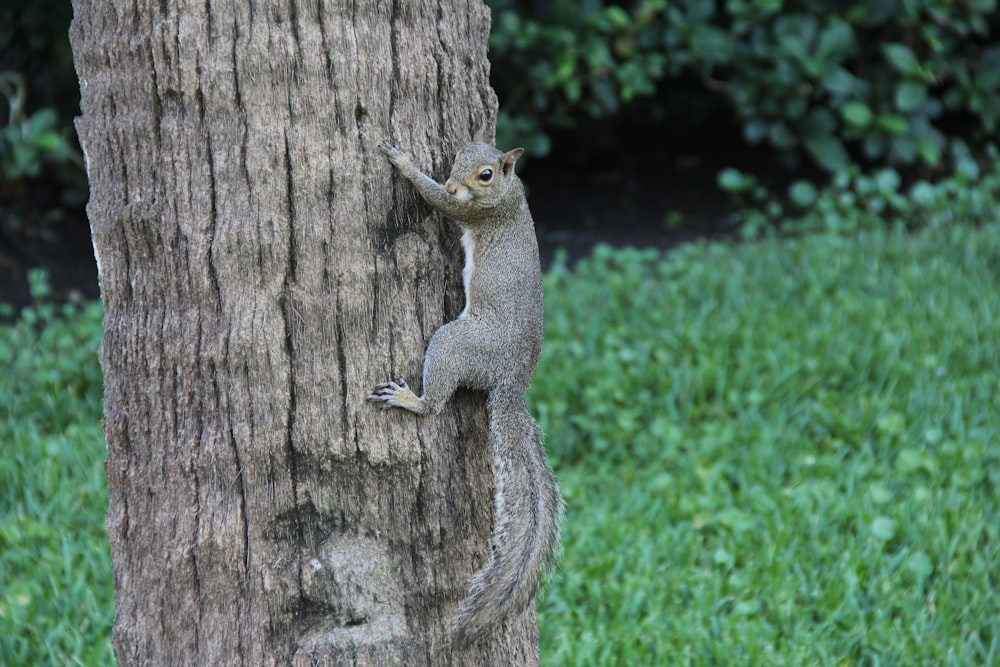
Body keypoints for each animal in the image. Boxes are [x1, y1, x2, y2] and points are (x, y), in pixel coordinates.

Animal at [368, 141, 564, 640]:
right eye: (459, 155)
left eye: (487, 173)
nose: (455, 182)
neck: (509, 192)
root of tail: (512, 380)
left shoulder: (475, 211)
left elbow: (440, 201)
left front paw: (405, 164)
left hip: (456, 343)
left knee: (435, 405)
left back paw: (410, 399)